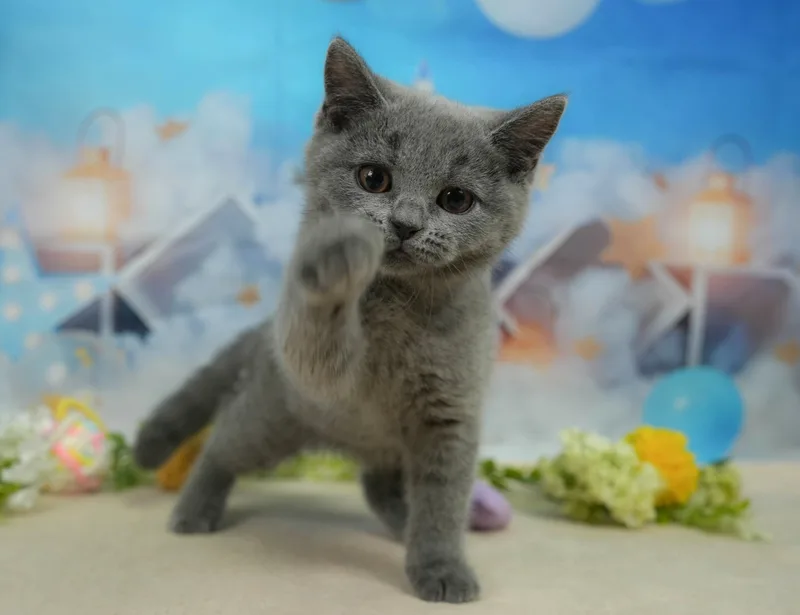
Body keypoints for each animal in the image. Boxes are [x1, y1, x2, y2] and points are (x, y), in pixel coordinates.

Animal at [133, 36, 566, 603]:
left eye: (455, 199)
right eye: (373, 178)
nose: (405, 224)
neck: (400, 307)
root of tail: (264, 335)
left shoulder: (451, 413)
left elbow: (443, 501)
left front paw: (441, 566)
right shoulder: (323, 372)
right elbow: (322, 341)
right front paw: (337, 259)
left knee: (377, 483)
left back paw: (401, 523)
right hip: (273, 415)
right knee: (223, 441)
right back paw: (195, 508)